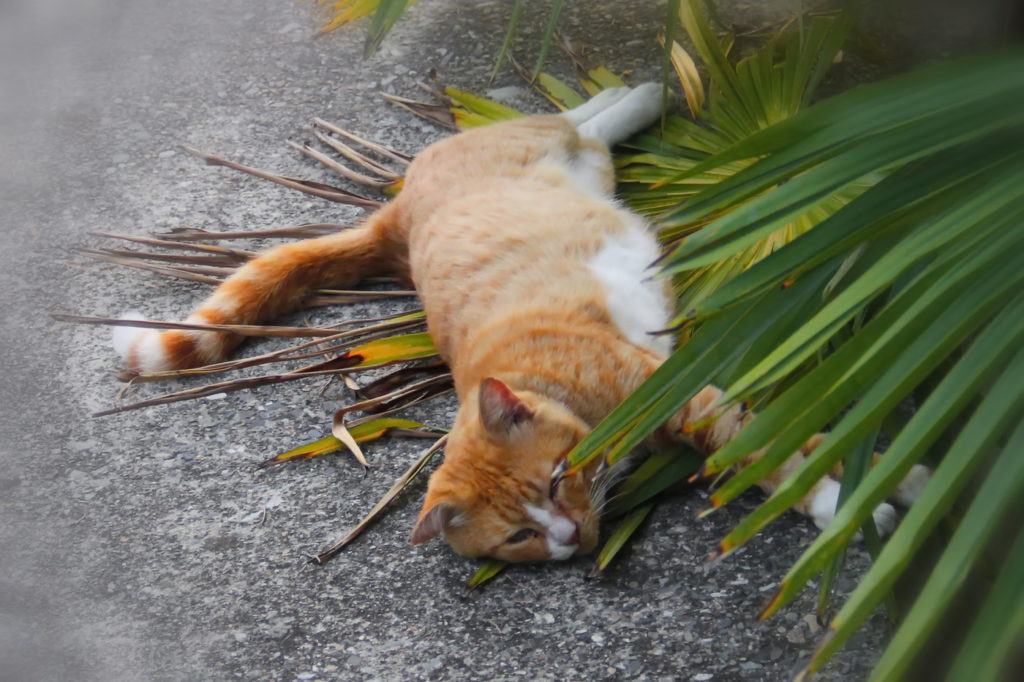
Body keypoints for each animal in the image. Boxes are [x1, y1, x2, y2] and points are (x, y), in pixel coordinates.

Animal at [112, 84, 929, 561]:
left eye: (558, 477)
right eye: (520, 536)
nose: (569, 539)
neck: (558, 388)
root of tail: (395, 213)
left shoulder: (678, 389)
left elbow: (764, 447)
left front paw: (855, 495)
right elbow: (764, 449)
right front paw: (874, 490)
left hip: (548, 146)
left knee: (577, 117)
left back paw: (648, 85)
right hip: (585, 165)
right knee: (587, 125)